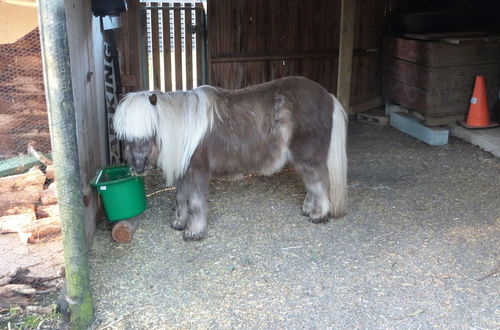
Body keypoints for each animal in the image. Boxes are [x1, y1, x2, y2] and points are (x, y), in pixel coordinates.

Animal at [113, 76, 348, 240]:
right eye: (124, 135)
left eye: (152, 129)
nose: (138, 165)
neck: (185, 128)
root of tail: (328, 96)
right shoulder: (184, 173)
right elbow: (180, 198)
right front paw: (179, 223)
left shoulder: (197, 172)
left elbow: (195, 203)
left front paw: (194, 232)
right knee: (313, 185)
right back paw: (309, 209)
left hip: (308, 156)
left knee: (319, 183)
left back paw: (318, 214)